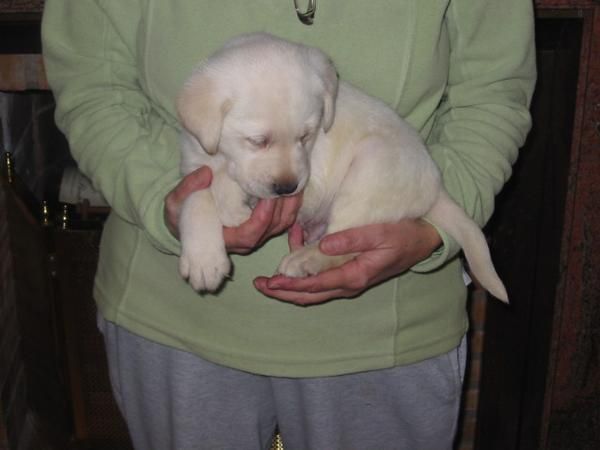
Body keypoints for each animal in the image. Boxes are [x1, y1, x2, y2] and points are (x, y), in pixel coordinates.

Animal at [177, 32, 506, 302]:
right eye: (258, 141)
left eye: (306, 136)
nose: (287, 188)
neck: (221, 155)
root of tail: (435, 187)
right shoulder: (194, 158)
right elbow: (198, 193)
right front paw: (204, 258)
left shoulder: (311, 176)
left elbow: (223, 181)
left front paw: (230, 207)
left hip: (371, 170)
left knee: (342, 244)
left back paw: (306, 260)